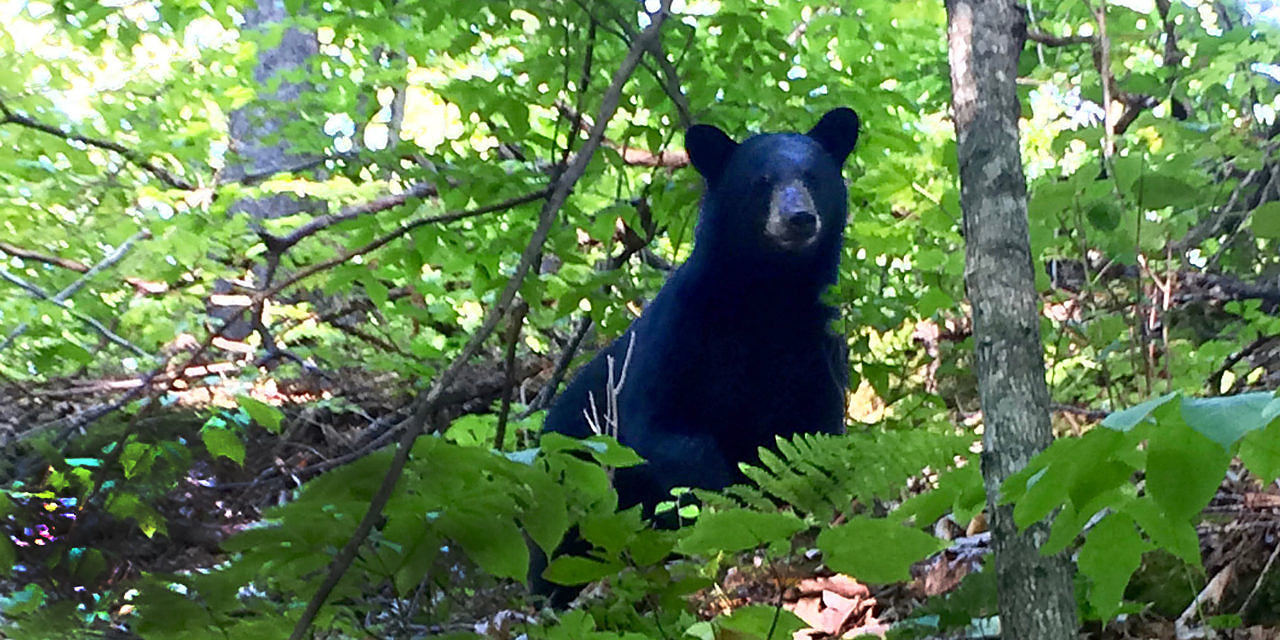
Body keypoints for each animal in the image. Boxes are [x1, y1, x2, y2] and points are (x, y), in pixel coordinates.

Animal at [542, 106, 860, 514]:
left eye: (813, 177)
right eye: (762, 181)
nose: (799, 217)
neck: (770, 294)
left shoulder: (817, 343)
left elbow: (814, 429)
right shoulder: (681, 328)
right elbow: (662, 425)